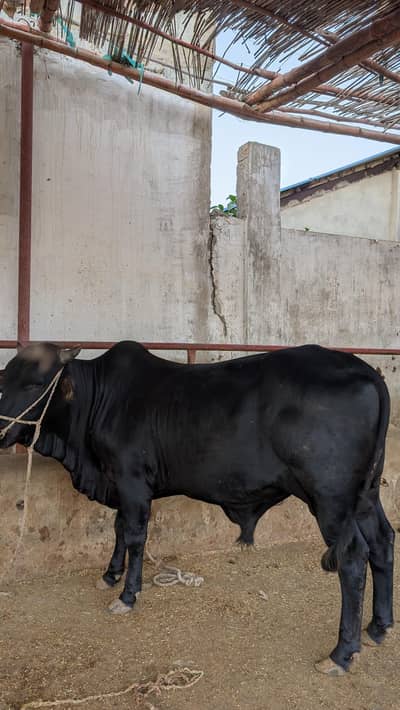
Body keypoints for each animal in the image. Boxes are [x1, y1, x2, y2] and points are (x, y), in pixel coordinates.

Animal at [0, 341, 395, 675]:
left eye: (35, 384)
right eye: (5, 378)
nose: (1, 432)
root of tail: (364, 369)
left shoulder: (132, 481)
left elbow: (134, 534)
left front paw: (127, 595)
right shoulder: (120, 484)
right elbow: (118, 527)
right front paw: (110, 575)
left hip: (331, 499)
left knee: (353, 557)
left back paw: (341, 653)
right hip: (365, 497)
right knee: (382, 541)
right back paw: (378, 626)